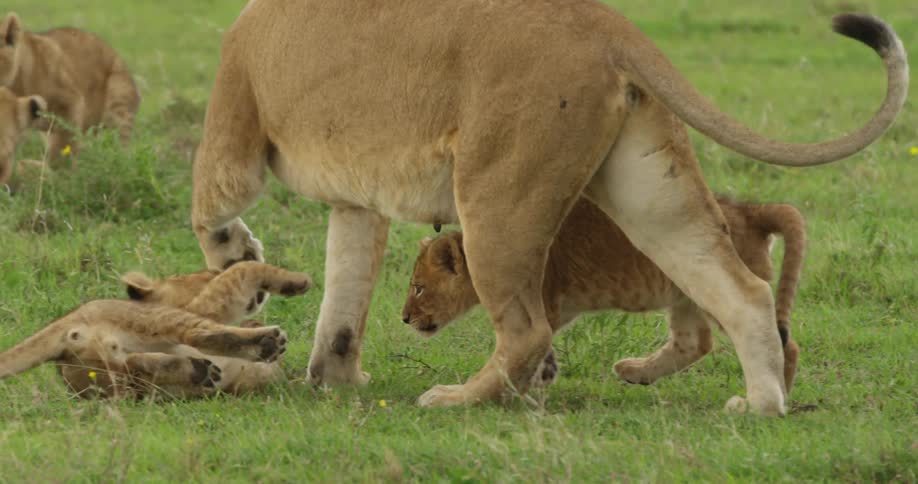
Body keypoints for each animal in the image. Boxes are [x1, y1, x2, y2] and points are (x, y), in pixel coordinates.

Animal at [0, 261, 312, 399]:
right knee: (199, 335)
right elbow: (246, 268)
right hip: (161, 319)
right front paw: (296, 281)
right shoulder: (204, 305)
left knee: (137, 369)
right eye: (197, 274)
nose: (212, 271)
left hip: (117, 382)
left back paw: (200, 371)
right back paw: (266, 343)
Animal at [402, 195, 806, 394]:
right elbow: (543, 345)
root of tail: (749, 211)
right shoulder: (553, 308)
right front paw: (545, 376)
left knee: (777, 338)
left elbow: (526, 347)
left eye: (419, 288)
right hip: (686, 292)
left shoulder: (540, 300)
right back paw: (636, 372)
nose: (404, 318)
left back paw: (778, 394)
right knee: (695, 342)